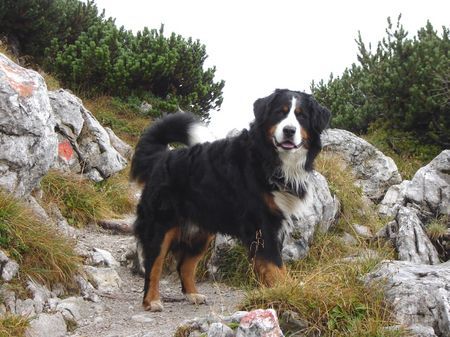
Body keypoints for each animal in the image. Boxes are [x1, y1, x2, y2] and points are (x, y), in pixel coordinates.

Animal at [130, 88, 330, 310]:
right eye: (280, 112)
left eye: (301, 116)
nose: (288, 130)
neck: (269, 159)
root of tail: (162, 157)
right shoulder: (262, 225)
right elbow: (275, 266)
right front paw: (286, 292)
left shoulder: (276, 225)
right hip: (161, 225)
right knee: (153, 265)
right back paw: (152, 300)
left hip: (202, 230)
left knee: (185, 265)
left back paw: (193, 294)